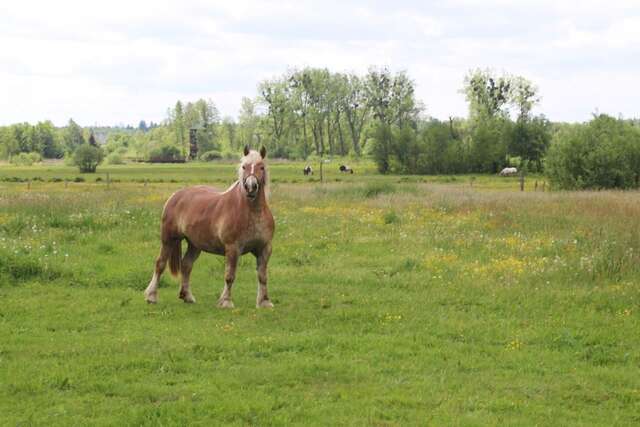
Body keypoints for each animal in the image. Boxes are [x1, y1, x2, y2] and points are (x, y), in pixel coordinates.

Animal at [142, 146, 276, 308]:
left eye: (261, 167)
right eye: (244, 167)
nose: (250, 187)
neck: (252, 212)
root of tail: (175, 196)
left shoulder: (265, 249)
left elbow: (262, 276)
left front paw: (264, 302)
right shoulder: (233, 249)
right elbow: (230, 276)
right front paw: (226, 301)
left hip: (194, 244)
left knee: (186, 265)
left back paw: (187, 296)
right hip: (169, 240)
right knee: (160, 264)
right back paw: (151, 296)